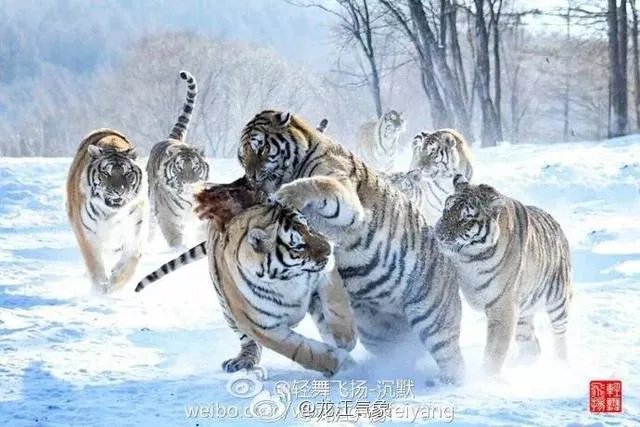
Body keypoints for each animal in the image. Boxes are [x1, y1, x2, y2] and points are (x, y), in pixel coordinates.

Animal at [66, 128, 148, 294]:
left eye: (127, 174)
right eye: (106, 174)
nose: (119, 191)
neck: (112, 213)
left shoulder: (134, 234)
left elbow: (130, 263)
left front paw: (114, 283)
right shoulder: (87, 234)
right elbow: (95, 265)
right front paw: (100, 289)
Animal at [135, 178, 357, 376]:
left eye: (309, 226)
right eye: (298, 245)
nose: (329, 250)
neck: (286, 279)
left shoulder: (324, 277)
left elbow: (337, 307)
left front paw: (345, 339)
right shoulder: (263, 328)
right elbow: (302, 351)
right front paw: (339, 362)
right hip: (229, 313)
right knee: (248, 341)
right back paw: (242, 361)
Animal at [146, 70, 210, 248]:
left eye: (195, 167)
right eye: (179, 168)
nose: (188, 183)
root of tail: (171, 139)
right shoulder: (168, 218)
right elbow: (176, 239)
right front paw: (180, 249)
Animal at [237, 110, 465, 384]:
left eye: (260, 148)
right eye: (242, 156)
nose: (251, 177)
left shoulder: (346, 200)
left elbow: (317, 183)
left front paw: (284, 195)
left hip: (434, 320)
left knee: (454, 361)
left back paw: (447, 382)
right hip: (377, 334)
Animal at [434, 174, 572, 375]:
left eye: (466, 219)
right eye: (446, 210)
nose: (439, 234)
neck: (470, 259)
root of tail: (557, 225)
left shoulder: (502, 307)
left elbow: (495, 351)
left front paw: (486, 377)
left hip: (558, 301)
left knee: (560, 335)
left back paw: (561, 365)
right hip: (523, 314)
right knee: (532, 345)